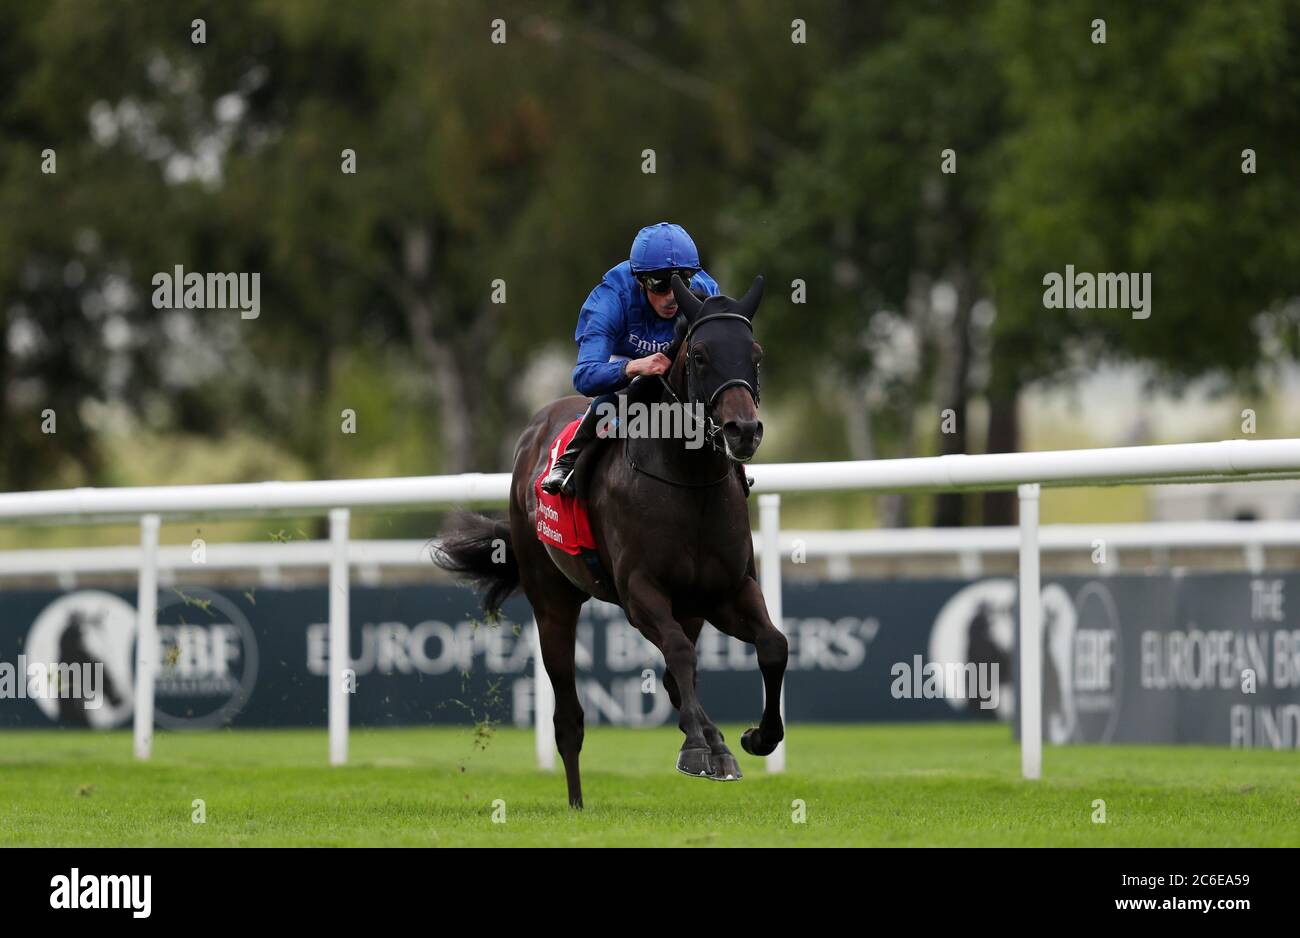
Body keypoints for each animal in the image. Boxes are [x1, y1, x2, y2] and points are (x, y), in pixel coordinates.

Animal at [436, 274, 785, 805]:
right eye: (701, 354)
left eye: (756, 354)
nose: (742, 430)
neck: (688, 481)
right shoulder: (640, 592)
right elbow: (679, 653)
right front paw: (698, 748)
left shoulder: (727, 590)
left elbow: (772, 644)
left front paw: (755, 737)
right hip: (552, 602)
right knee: (570, 717)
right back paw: (578, 801)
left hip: (691, 608)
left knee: (675, 677)